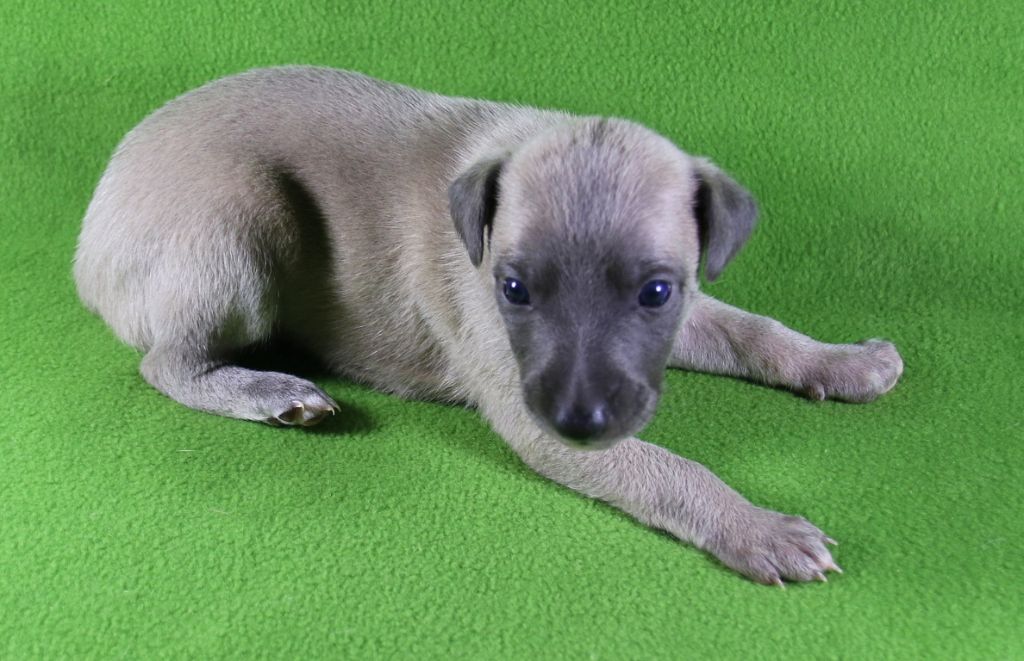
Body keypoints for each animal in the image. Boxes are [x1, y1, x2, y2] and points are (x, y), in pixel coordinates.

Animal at [74, 67, 903, 585]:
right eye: (513, 288)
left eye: (657, 291)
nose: (581, 418)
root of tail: (89, 243)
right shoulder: (532, 409)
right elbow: (669, 468)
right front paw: (757, 528)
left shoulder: (683, 317)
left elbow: (752, 330)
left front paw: (842, 362)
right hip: (243, 219)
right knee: (168, 363)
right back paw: (271, 390)